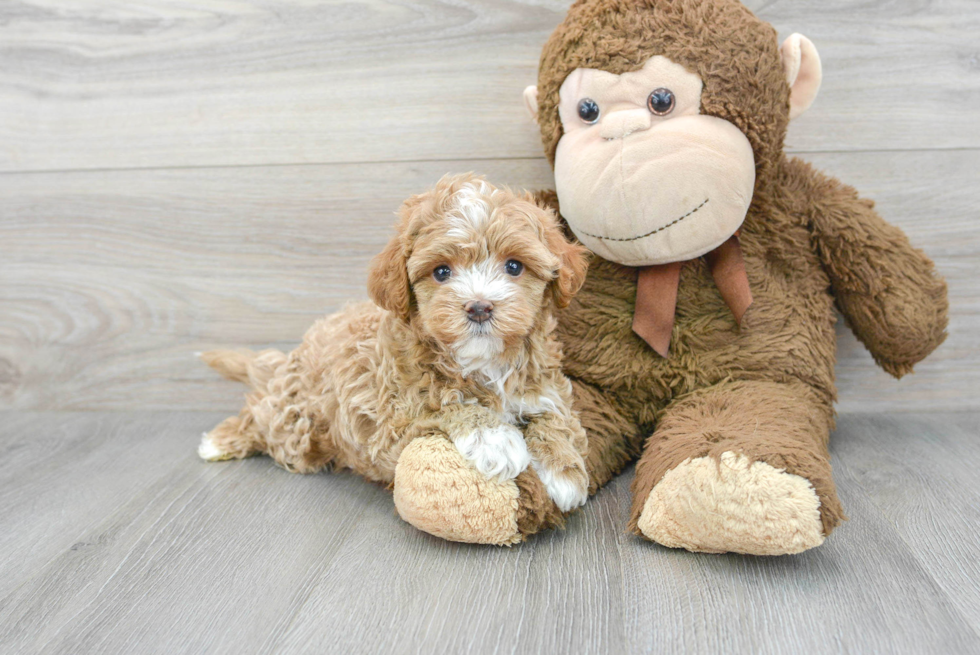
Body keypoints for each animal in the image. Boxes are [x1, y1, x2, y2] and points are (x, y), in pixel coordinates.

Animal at [201, 177, 588, 516]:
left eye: (514, 266)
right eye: (442, 272)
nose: (479, 307)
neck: (481, 362)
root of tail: (293, 357)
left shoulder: (544, 386)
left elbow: (555, 414)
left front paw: (564, 470)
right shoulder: (390, 422)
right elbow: (444, 404)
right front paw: (494, 437)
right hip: (297, 424)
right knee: (264, 416)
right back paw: (219, 441)